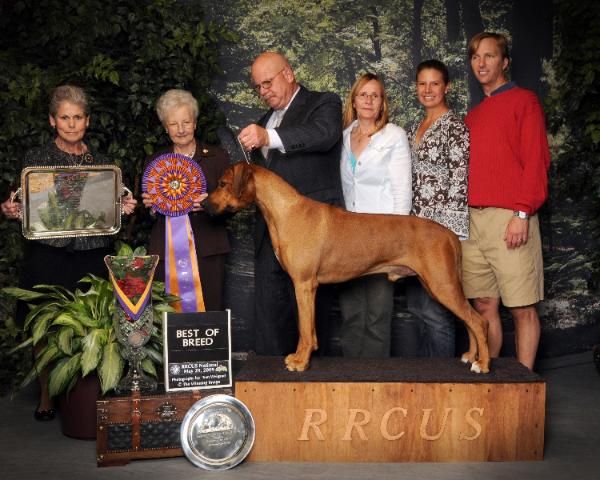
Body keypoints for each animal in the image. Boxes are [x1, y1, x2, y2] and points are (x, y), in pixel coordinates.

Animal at [204, 163, 490, 374]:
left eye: (222, 184)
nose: (205, 205)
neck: (286, 211)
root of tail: (450, 235)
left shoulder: (304, 284)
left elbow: (304, 328)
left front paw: (300, 362)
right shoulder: (306, 288)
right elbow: (309, 330)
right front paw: (304, 355)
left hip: (442, 284)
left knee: (478, 320)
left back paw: (483, 364)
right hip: (441, 285)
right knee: (468, 319)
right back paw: (470, 356)